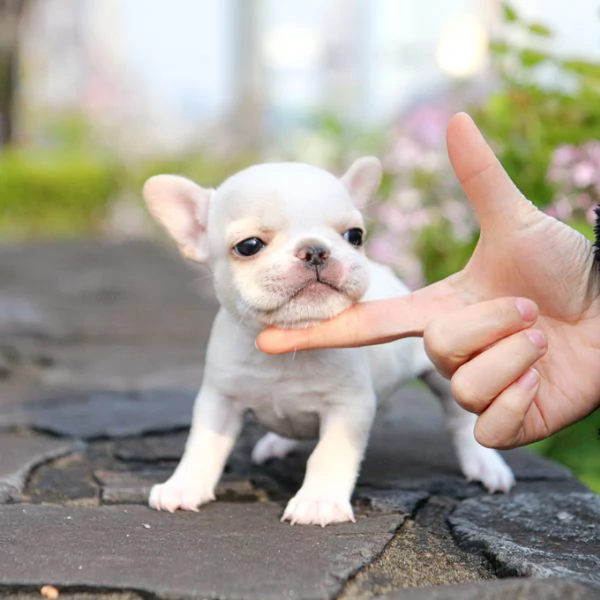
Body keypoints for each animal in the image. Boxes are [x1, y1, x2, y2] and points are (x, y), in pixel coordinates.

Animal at [143, 158, 512, 524]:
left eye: (355, 236)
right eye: (249, 246)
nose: (315, 250)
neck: (290, 350)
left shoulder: (348, 405)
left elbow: (328, 453)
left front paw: (319, 501)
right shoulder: (219, 398)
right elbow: (203, 444)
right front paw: (184, 485)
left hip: (435, 372)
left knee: (460, 420)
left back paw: (485, 465)